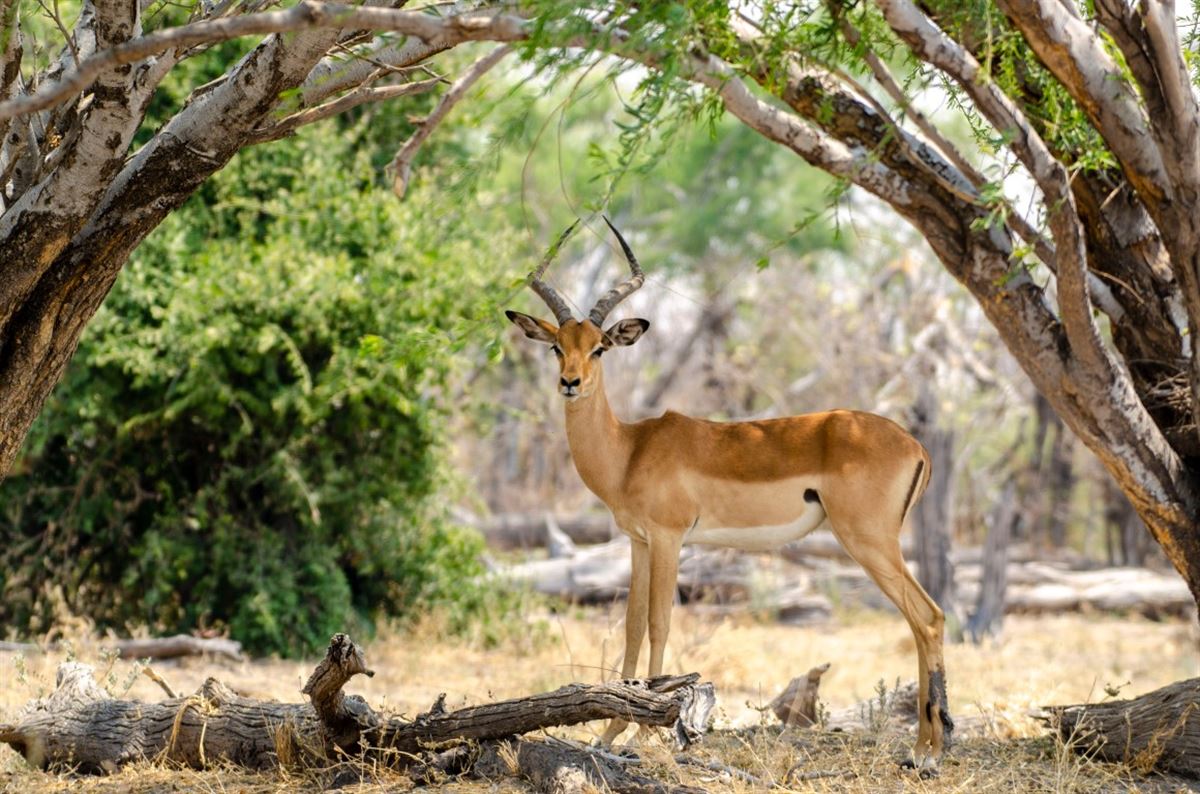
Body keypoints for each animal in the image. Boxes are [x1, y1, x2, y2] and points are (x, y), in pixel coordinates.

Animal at [505, 219, 953, 771]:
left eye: (600, 348)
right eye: (556, 346)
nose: (570, 382)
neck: (629, 449)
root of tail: (915, 444)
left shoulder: (670, 538)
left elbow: (660, 622)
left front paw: (642, 735)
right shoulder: (638, 542)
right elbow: (631, 624)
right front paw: (610, 732)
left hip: (869, 542)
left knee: (928, 617)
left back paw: (927, 753)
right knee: (921, 621)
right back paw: (924, 749)